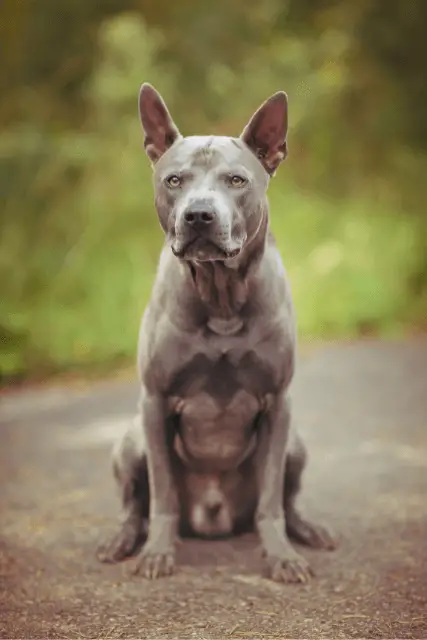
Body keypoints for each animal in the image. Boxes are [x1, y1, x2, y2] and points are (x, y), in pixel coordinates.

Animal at [98, 82, 338, 584]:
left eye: (236, 180)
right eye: (174, 180)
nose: (199, 215)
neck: (221, 296)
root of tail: (214, 519)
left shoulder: (278, 404)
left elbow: (272, 501)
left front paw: (281, 556)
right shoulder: (154, 403)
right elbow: (162, 494)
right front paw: (157, 553)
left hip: (296, 444)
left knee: (287, 499)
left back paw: (307, 530)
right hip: (129, 440)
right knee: (135, 504)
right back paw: (124, 540)